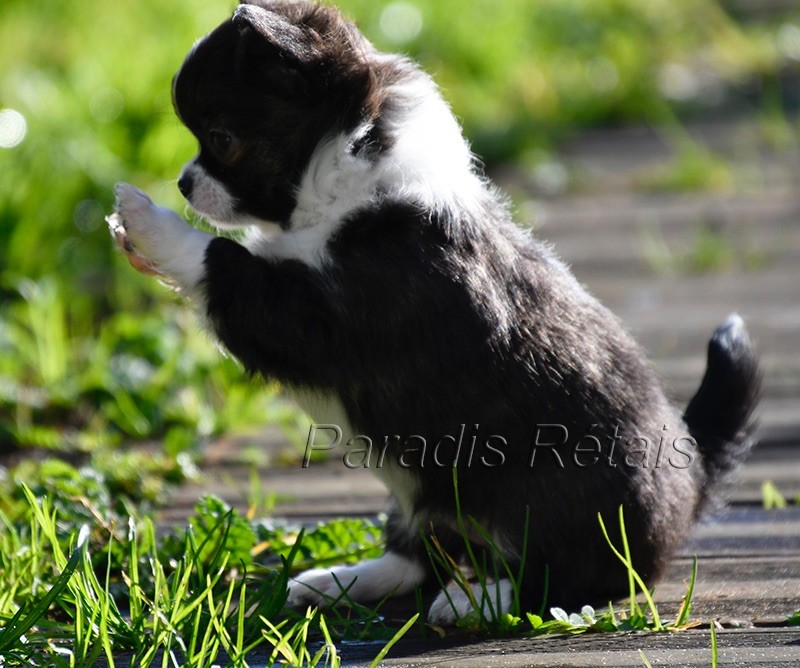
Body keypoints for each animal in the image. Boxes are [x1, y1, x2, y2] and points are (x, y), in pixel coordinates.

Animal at [108, 0, 761, 624]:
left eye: (221, 138)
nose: (182, 183)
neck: (343, 186)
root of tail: (695, 474)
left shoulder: (325, 315)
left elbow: (224, 260)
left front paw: (145, 222)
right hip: (418, 494)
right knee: (421, 552)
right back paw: (342, 581)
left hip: (556, 505)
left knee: (568, 578)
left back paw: (481, 599)